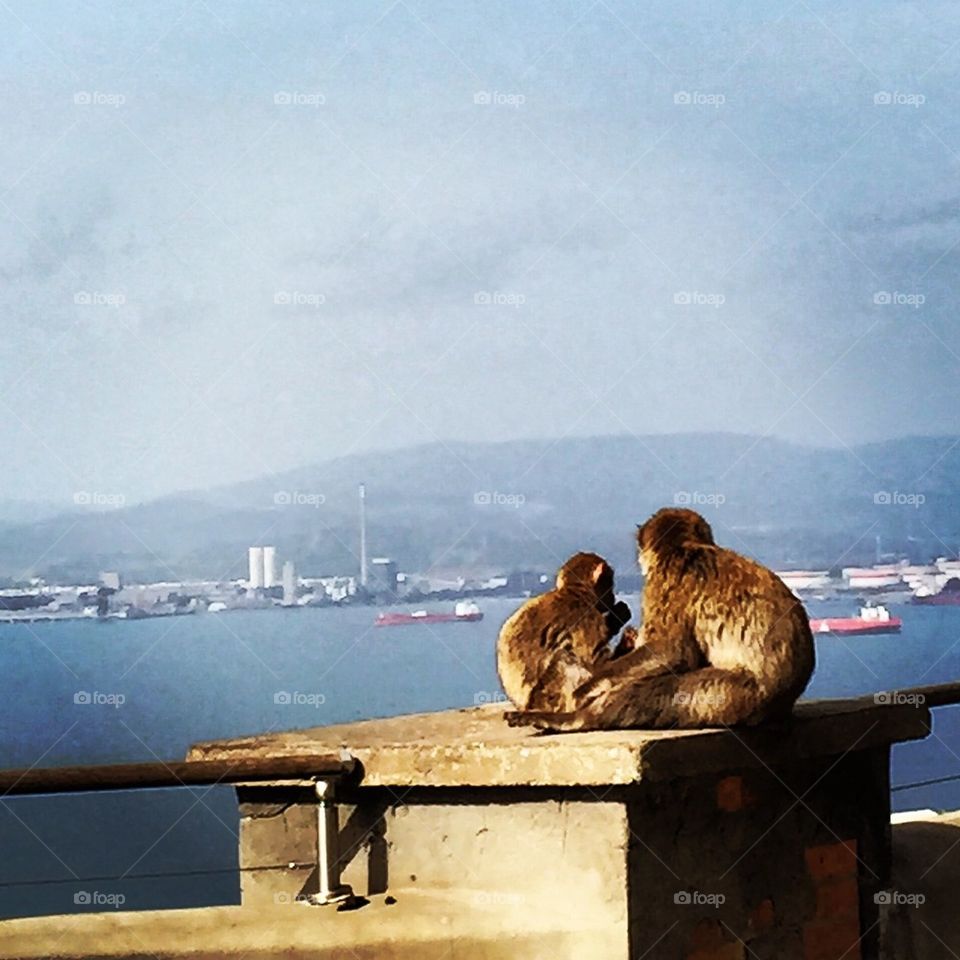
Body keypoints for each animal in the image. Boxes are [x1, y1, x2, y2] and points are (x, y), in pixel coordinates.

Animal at [496, 552, 635, 715]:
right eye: (610, 585)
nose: (612, 596)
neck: (574, 592)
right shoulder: (587, 617)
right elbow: (599, 664)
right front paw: (623, 624)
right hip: (549, 700)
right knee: (563, 657)